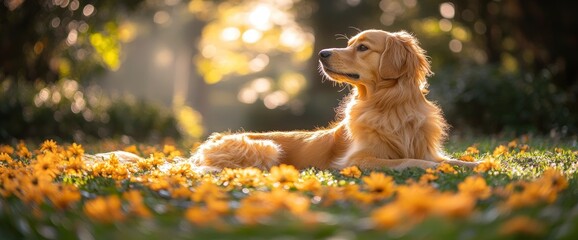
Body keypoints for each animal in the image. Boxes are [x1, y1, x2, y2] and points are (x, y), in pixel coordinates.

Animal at [189, 29, 476, 171]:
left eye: (362, 47)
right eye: (349, 44)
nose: (321, 53)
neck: (390, 104)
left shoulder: (426, 149)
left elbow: (449, 160)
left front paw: (477, 164)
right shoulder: (356, 161)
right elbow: (409, 161)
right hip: (266, 148)